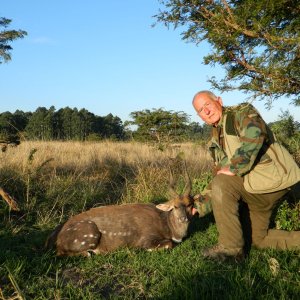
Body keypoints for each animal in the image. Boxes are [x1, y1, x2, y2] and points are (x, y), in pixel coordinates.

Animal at [45, 166, 193, 255]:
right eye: (175, 206)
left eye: (190, 204)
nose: (184, 218)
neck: (168, 228)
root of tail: (53, 238)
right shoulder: (147, 238)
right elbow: (168, 244)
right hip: (89, 232)